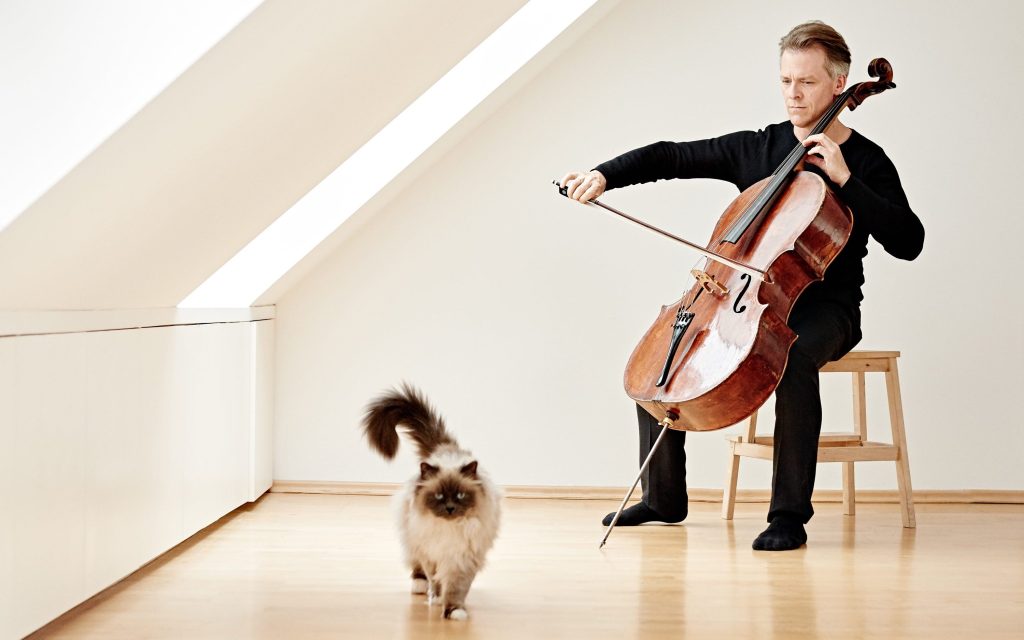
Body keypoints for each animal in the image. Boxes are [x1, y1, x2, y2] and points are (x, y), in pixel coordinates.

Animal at [362, 385, 501, 618]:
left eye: (460, 496)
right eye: (438, 496)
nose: (450, 508)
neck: (449, 530)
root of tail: (443, 450)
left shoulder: (462, 559)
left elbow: (456, 589)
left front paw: (455, 611)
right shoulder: (431, 554)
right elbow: (435, 580)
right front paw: (437, 600)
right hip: (413, 537)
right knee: (417, 566)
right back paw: (419, 587)